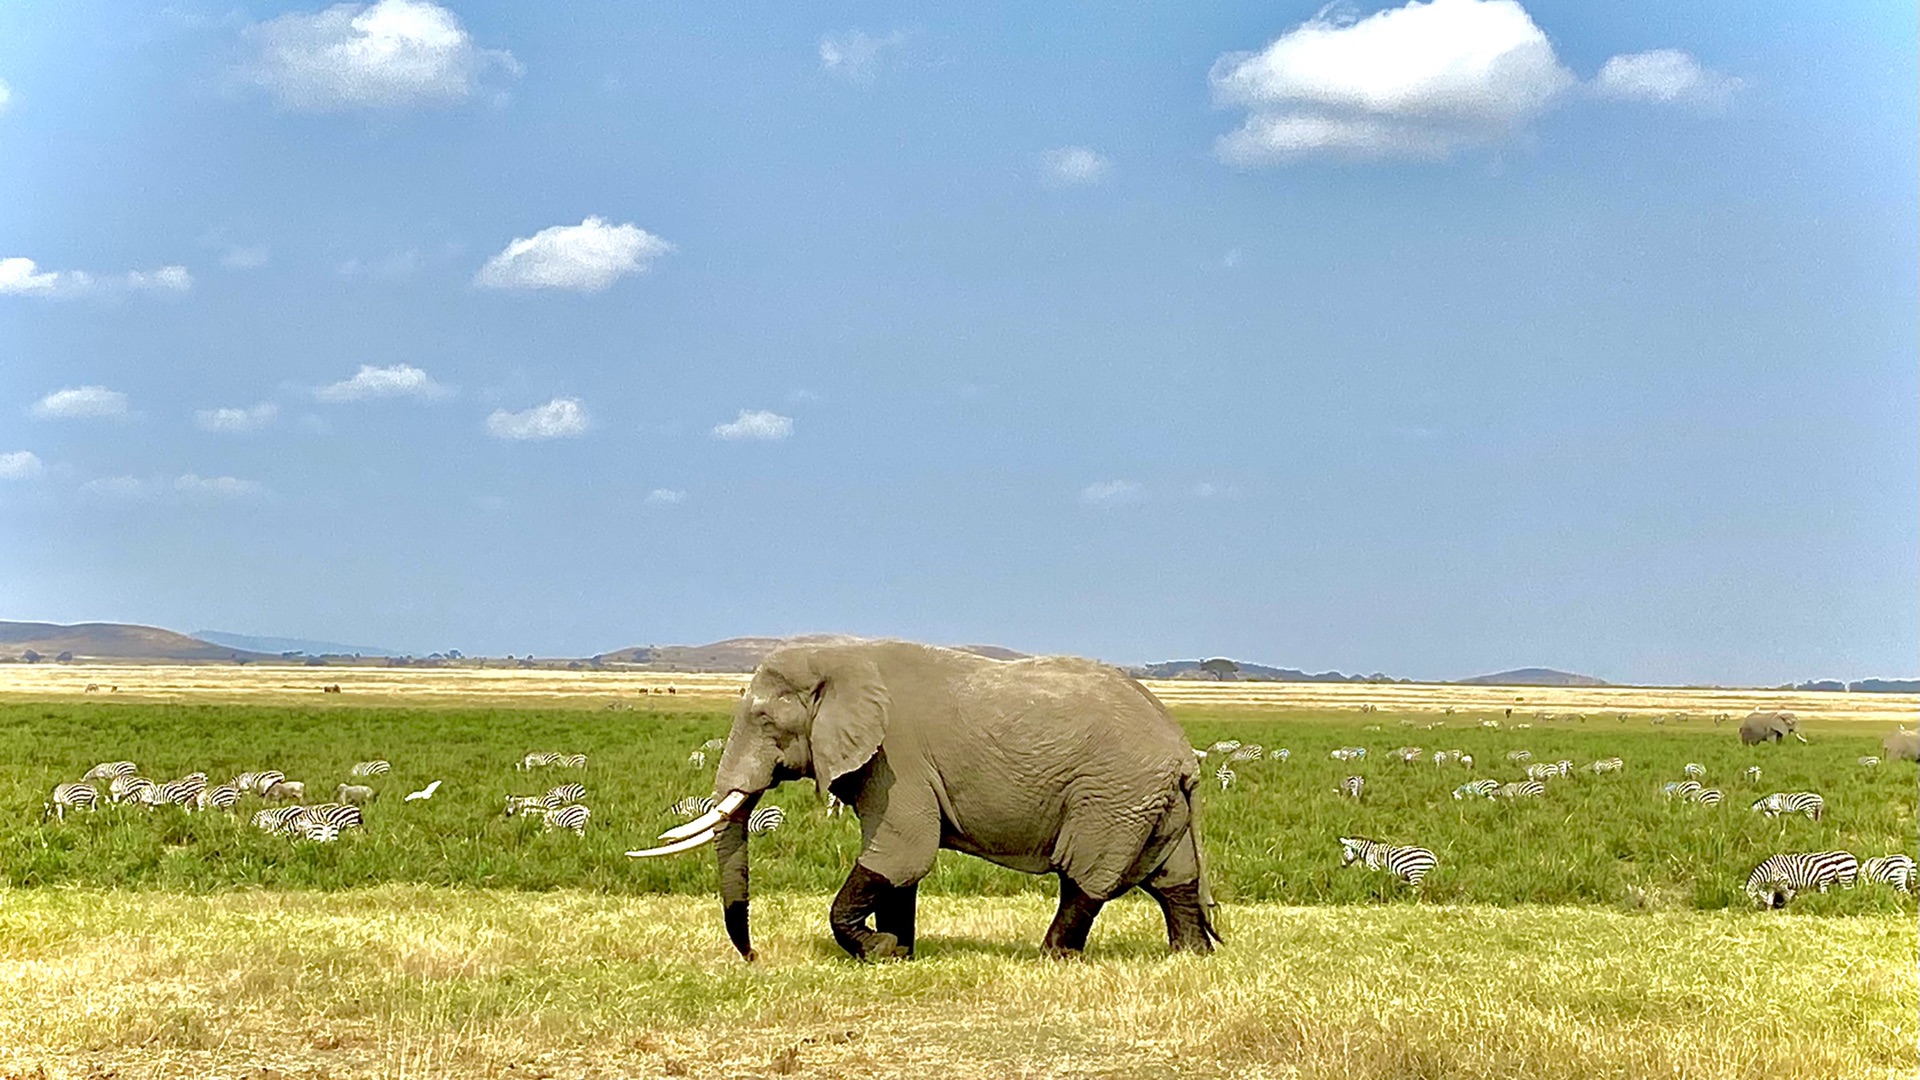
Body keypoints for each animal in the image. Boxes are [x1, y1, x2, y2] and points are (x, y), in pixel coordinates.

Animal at [625, 638, 1213, 957]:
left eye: (765, 719)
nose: (754, 958)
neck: (843, 655)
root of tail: (1183, 751)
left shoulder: (895, 758)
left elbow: (901, 852)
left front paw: (879, 950)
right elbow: (900, 867)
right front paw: (899, 954)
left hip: (1113, 795)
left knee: (1087, 875)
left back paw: (1053, 957)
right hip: (1151, 801)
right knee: (1173, 877)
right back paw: (1190, 955)